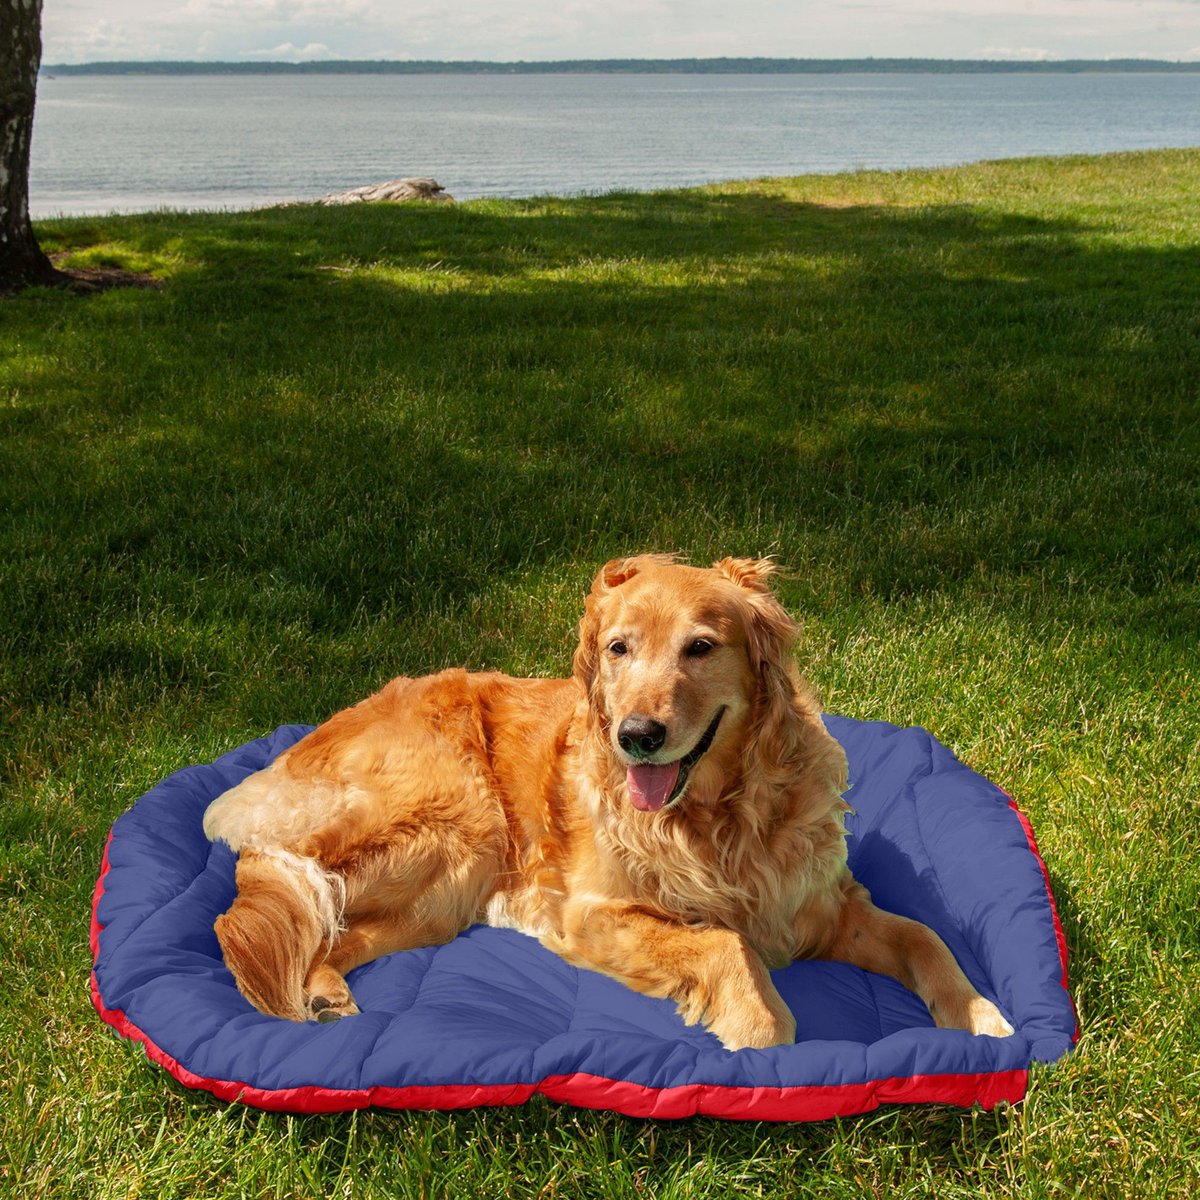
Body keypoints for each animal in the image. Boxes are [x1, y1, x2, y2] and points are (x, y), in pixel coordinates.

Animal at [204, 556, 1012, 1046]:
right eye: (619, 648)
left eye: (700, 647)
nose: (637, 736)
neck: (717, 818)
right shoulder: (592, 913)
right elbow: (725, 943)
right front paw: (760, 1032)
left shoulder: (827, 907)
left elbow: (925, 935)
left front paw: (981, 1017)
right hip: (457, 828)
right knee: (288, 908)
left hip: (444, 893)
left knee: (334, 933)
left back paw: (325, 995)